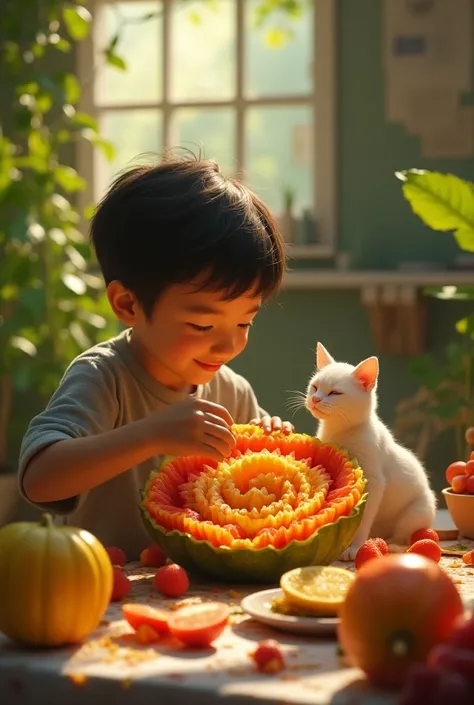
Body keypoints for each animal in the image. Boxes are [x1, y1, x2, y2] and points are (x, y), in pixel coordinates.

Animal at [304, 342, 436, 560]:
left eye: (334, 393)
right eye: (314, 387)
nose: (315, 399)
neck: (340, 430)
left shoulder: (374, 482)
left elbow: (363, 518)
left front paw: (355, 547)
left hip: (417, 511)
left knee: (405, 535)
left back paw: (392, 545)